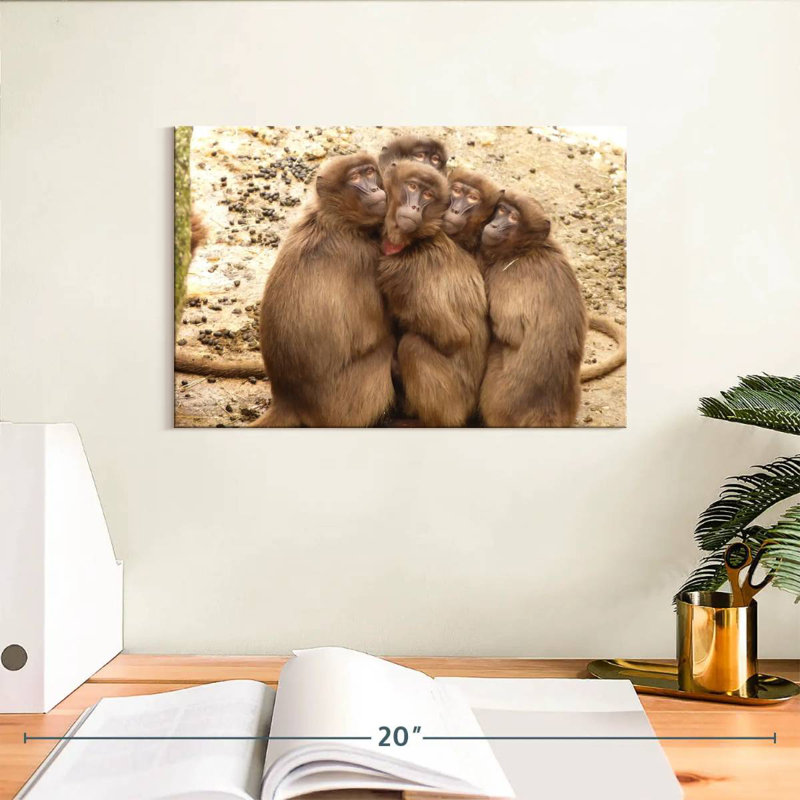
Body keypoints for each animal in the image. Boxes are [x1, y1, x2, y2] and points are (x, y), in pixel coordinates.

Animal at [247, 152, 395, 427]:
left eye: (370, 172)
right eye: (356, 177)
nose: (374, 189)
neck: (335, 221)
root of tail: (289, 398)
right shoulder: (364, 257)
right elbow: (376, 332)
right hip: (345, 404)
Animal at [376, 161, 489, 427]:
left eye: (427, 195)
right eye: (412, 187)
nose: (414, 206)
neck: (415, 242)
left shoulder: (406, 273)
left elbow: (452, 337)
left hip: (453, 404)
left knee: (413, 346)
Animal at [478, 189, 588, 427]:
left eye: (513, 218)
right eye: (502, 210)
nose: (494, 225)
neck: (527, 249)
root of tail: (545, 411)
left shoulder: (506, 275)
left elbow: (509, 332)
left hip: (500, 399)